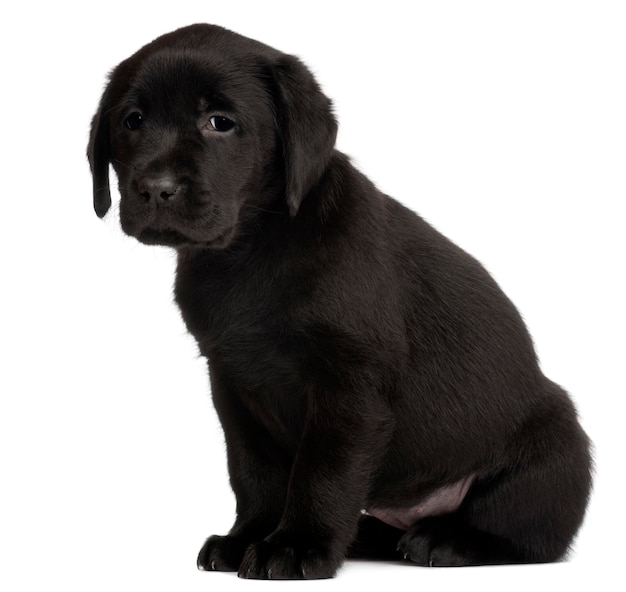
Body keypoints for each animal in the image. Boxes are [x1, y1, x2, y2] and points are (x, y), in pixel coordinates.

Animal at [88, 24, 588, 580]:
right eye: (132, 121)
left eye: (220, 123)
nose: (156, 189)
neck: (250, 251)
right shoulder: (233, 384)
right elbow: (254, 471)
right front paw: (248, 538)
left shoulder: (350, 387)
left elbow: (322, 472)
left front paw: (296, 546)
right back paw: (372, 536)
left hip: (557, 444)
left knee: (528, 535)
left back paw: (446, 539)